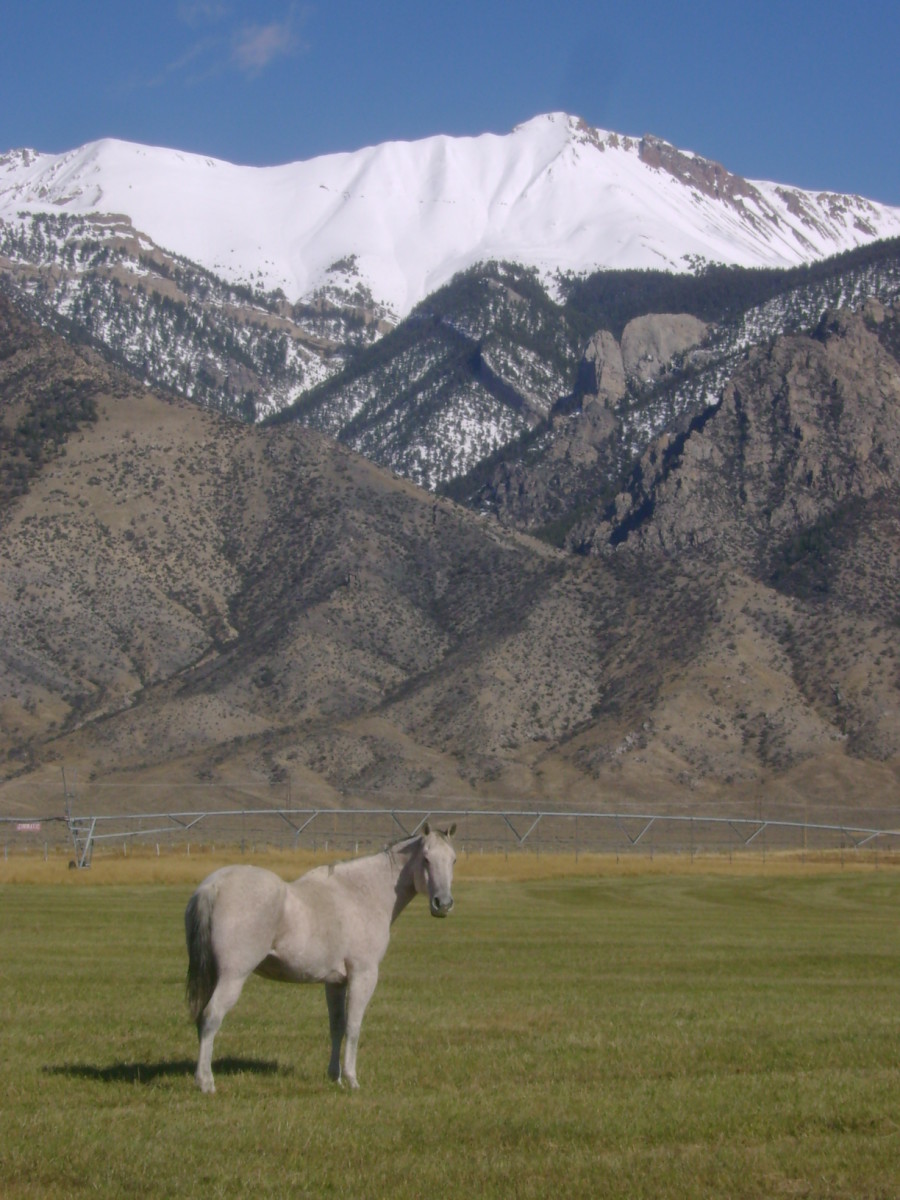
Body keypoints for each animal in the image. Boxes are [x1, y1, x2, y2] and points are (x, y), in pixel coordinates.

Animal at [183, 825, 458, 1099]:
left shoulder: (335, 982)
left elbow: (337, 1026)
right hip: (233, 977)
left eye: (453, 860)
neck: (361, 894)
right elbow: (353, 1027)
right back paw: (205, 1082)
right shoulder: (363, 976)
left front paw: (335, 1077)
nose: (443, 904)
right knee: (211, 1017)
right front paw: (352, 1079)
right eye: (426, 858)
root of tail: (213, 886)